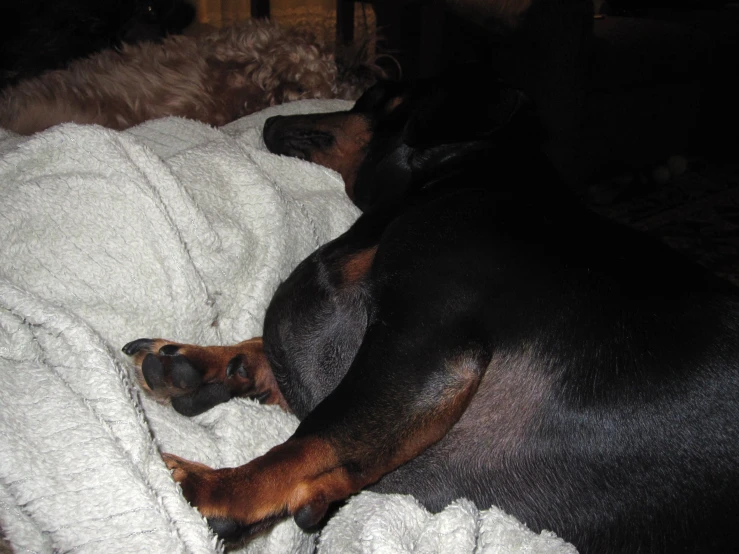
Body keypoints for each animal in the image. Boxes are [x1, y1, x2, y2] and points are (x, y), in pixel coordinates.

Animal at [124, 75, 739, 548]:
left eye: (374, 96)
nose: (271, 122)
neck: (465, 182)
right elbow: (274, 355)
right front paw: (197, 361)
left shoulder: (427, 338)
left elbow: (322, 433)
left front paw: (216, 489)